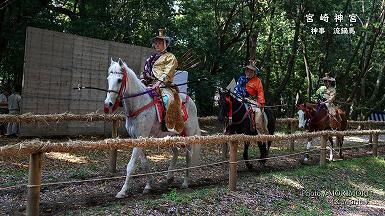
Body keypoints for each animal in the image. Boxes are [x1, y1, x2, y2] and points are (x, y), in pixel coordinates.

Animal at [105, 57, 201, 197]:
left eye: (119, 80)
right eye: (108, 79)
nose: (108, 103)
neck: (138, 103)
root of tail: (191, 100)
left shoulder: (141, 137)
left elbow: (131, 166)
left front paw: (123, 191)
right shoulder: (137, 138)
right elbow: (144, 162)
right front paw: (149, 185)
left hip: (188, 134)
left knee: (188, 157)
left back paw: (185, 183)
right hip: (171, 134)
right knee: (176, 152)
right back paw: (169, 177)